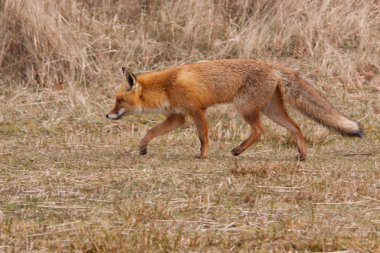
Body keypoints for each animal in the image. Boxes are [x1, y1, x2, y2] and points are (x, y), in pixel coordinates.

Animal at [105, 58, 364, 160]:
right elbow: (150, 132)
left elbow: (203, 136)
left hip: (245, 107)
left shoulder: (197, 111)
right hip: (272, 110)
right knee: (296, 127)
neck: (166, 87)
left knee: (260, 131)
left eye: (119, 100)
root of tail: (273, 66)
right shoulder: (178, 118)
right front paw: (142, 148)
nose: (107, 115)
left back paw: (238, 150)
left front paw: (203, 156)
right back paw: (302, 155)